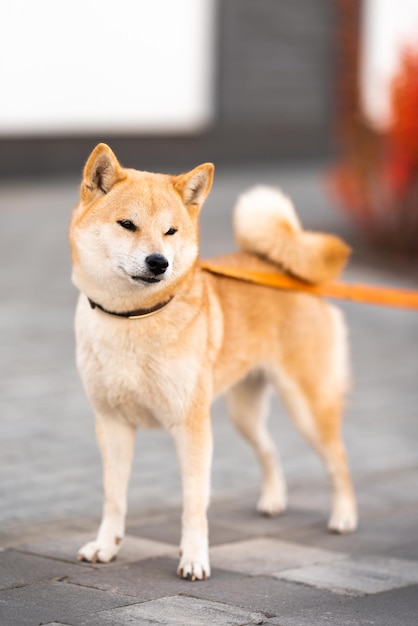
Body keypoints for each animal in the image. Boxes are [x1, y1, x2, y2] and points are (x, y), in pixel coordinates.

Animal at [70, 143, 358, 580]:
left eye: (171, 231)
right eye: (127, 224)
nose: (159, 262)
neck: (134, 318)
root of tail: (284, 270)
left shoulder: (190, 426)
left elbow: (194, 504)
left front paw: (193, 558)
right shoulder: (112, 423)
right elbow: (114, 497)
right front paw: (106, 546)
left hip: (307, 407)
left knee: (338, 460)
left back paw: (343, 517)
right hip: (244, 413)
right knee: (269, 449)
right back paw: (274, 500)